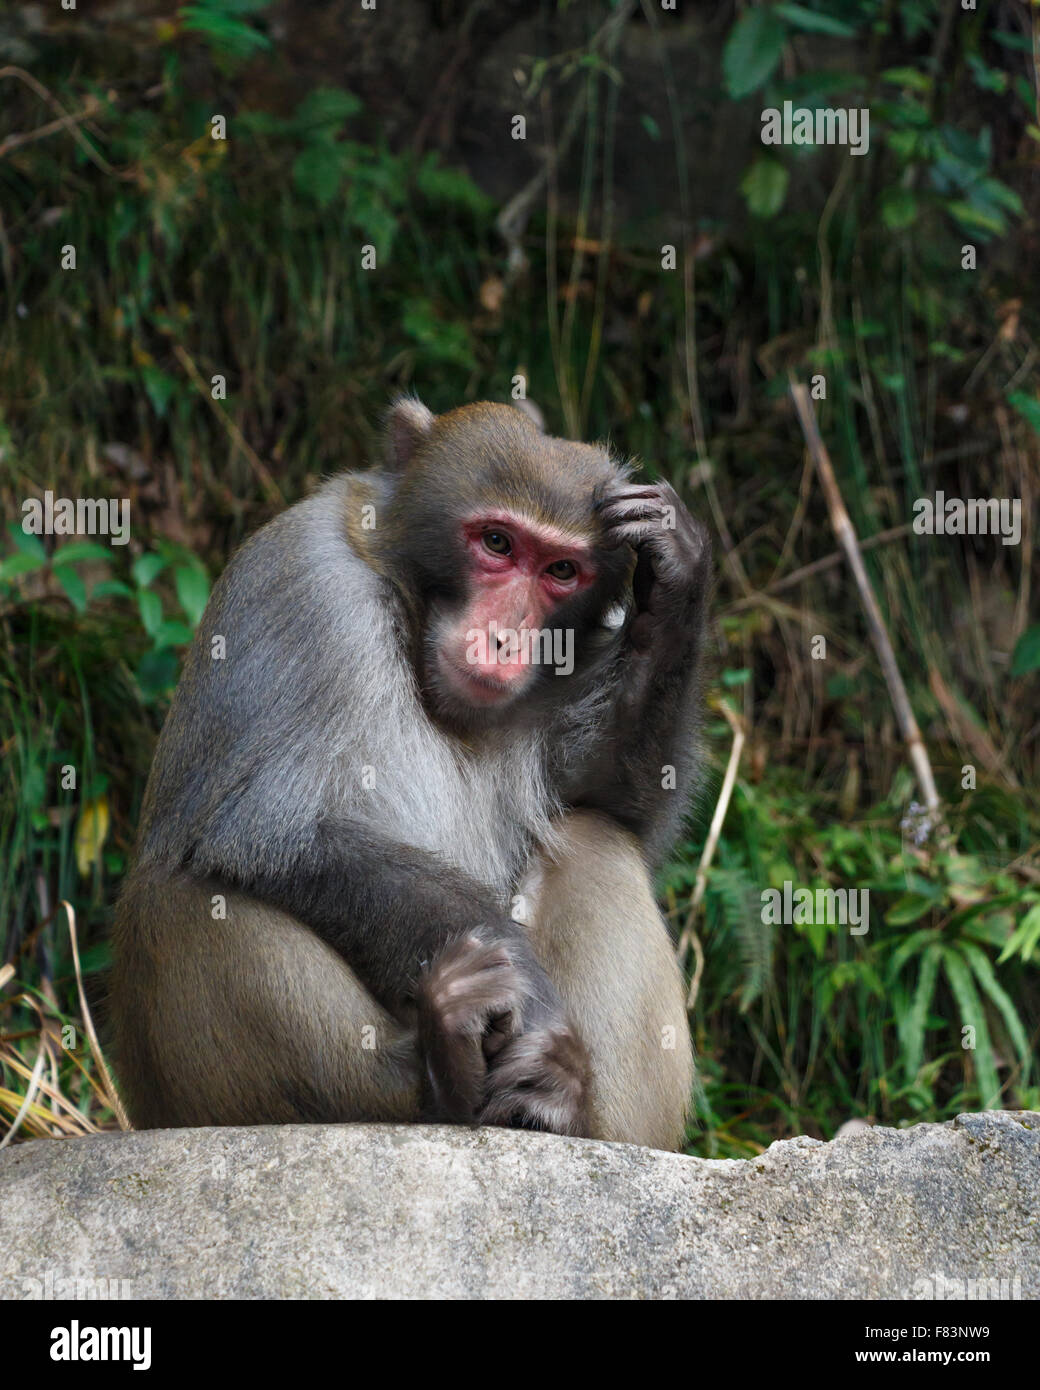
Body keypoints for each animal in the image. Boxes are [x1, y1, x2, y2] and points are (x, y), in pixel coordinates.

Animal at [111, 400, 717, 1150]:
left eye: (561, 570)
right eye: (496, 542)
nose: (504, 640)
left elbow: (613, 798)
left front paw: (676, 575)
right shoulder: (309, 586)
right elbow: (268, 832)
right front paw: (525, 993)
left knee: (594, 839)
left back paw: (560, 1112)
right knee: (181, 896)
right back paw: (439, 1077)